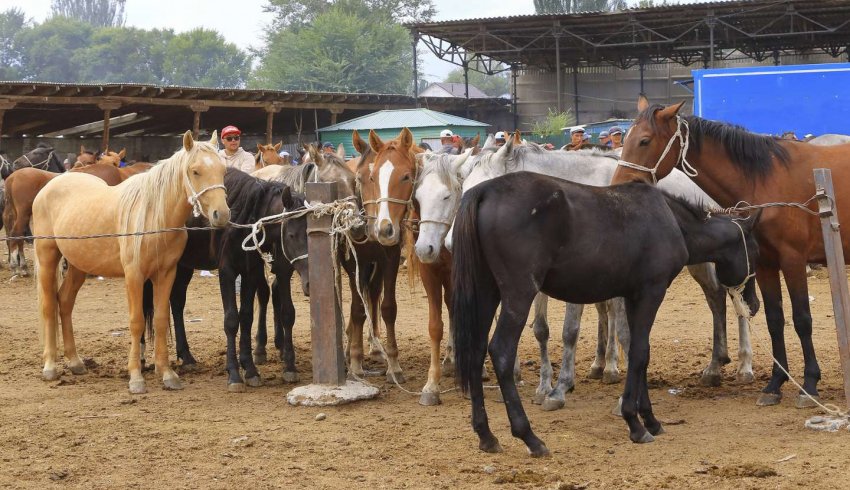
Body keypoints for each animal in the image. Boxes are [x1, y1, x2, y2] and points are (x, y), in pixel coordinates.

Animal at [33, 130, 229, 394]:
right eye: (195, 171)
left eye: (223, 170)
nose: (222, 214)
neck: (154, 217)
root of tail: (48, 186)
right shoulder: (134, 276)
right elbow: (136, 322)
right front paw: (136, 377)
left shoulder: (166, 274)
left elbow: (161, 319)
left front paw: (167, 374)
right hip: (47, 257)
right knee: (48, 306)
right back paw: (50, 367)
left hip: (78, 266)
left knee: (64, 303)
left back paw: (75, 362)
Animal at [414, 140, 752, 412]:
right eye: (461, 190)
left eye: (448, 196)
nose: (445, 245)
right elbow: (542, 330)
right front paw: (544, 386)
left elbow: (572, 332)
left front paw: (562, 388)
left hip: (705, 264)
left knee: (726, 298)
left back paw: (736, 364)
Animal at [454, 172, 760, 456]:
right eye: (755, 252)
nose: (754, 305)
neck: (670, 220)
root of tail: (486, 190)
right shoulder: (651, 293)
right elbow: (639, 352)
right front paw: (635, 424)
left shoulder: (633, 296)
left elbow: (639, 351)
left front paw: (649, 419)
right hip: (518, 294)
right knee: (501, 352)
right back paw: (529, 437)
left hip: (487, 293)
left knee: (476, 350)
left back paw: (486, 435)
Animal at [608, 97, 848, 408]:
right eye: (625, 139)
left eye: (645, 140)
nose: (618, 186)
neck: (767, 179)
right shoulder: (766, 263)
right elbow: (774, 319)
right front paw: (775, 384)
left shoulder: (793, 260)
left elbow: (802, 320)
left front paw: (809, 384)